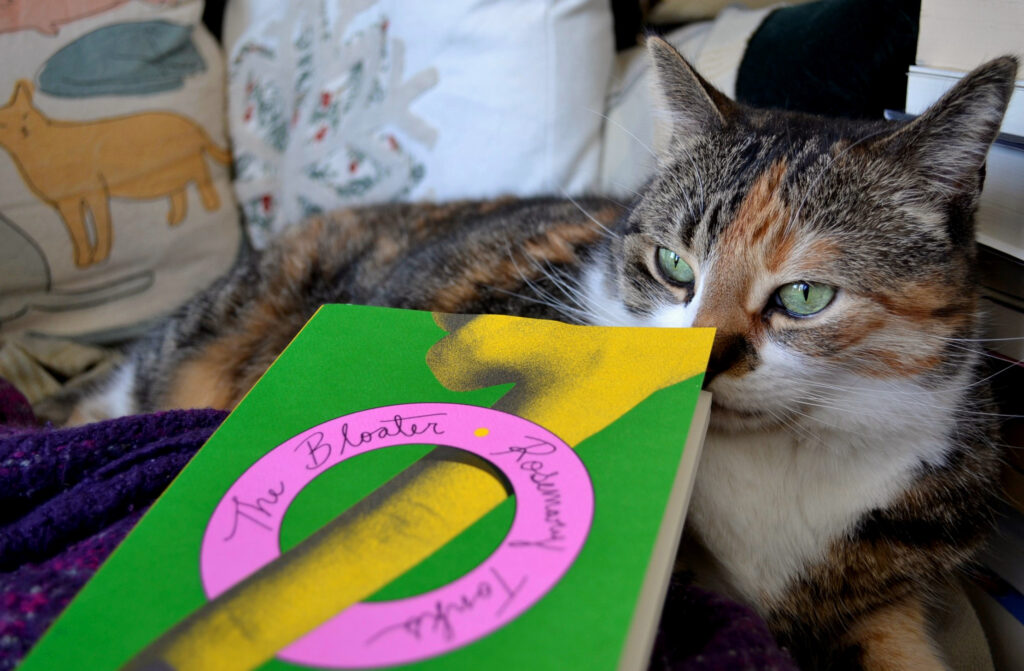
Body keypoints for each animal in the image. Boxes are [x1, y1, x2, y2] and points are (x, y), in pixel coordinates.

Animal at [0, 78, 230, 268]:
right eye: (3, 125)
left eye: (25, 116)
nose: (24, 130)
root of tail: (192, 124)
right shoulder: (67, 203)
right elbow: (78, 234)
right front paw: (84, 261)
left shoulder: (95, 192)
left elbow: (102, 227)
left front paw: (99, 256)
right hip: (170, 172)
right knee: (179, 193)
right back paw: (175, 220)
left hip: (190, 163)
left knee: (204, 180)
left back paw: (211, 206)